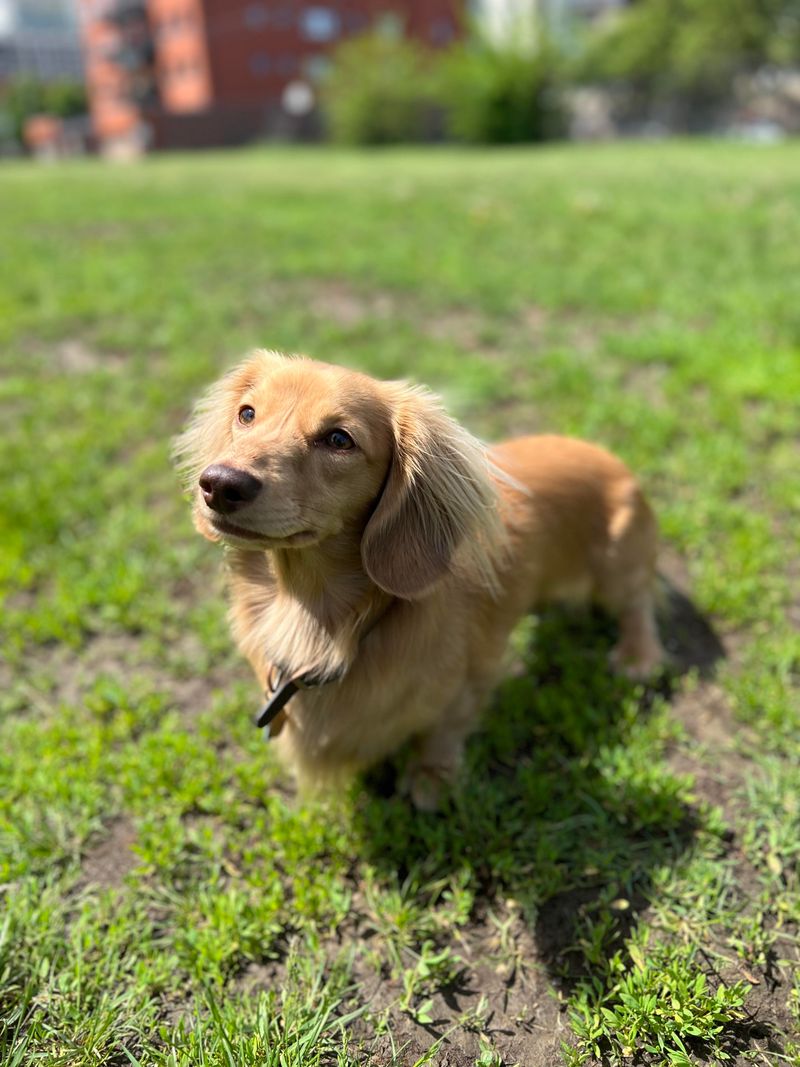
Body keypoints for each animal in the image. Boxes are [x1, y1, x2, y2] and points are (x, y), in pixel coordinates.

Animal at [174, 349, 665, 806]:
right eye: (247, 413)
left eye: (339, 439)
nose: (220, 485)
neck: (322, 623)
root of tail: (604, 453)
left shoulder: (469, 681)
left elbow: (442, 731)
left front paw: (432, 779)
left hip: (618, 563)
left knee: (639, 603)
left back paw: (637, 655)